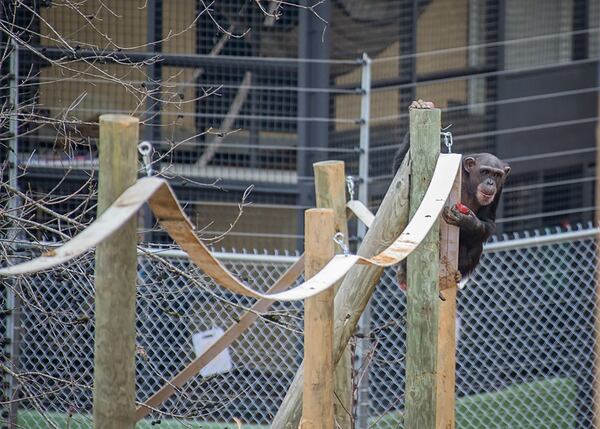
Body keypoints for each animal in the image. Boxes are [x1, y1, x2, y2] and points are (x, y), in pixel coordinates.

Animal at [394, 100, 510, 288]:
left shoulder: (499, 191)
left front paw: (468, 221)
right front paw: (421, 105)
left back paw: (457, 275)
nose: (490, 182)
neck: (470, 184)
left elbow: (487, 221)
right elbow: (402, 177)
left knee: (476, 244)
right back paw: (404, 274)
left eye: (497, 175)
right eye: (485, 172)